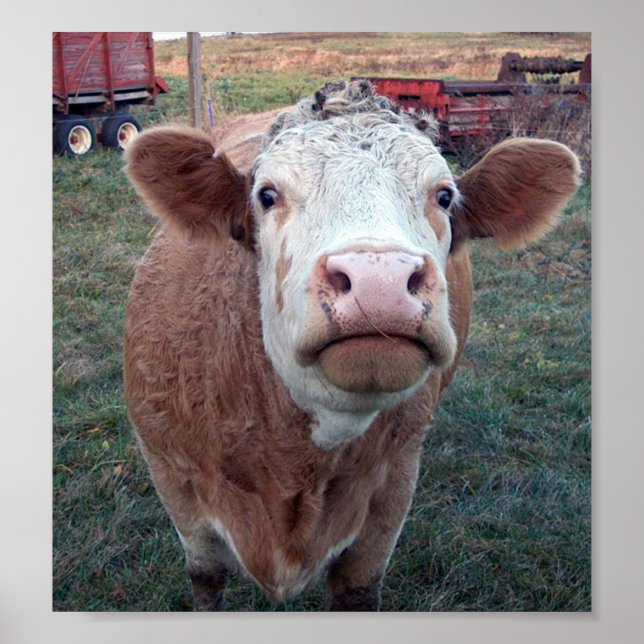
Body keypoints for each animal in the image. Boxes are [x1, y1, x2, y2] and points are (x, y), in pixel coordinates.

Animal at [123, 80, 580, 611]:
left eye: (444, 196)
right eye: (267, 195)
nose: (378, 281)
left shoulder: (393, 485)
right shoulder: (171, 475)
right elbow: (206, 576)